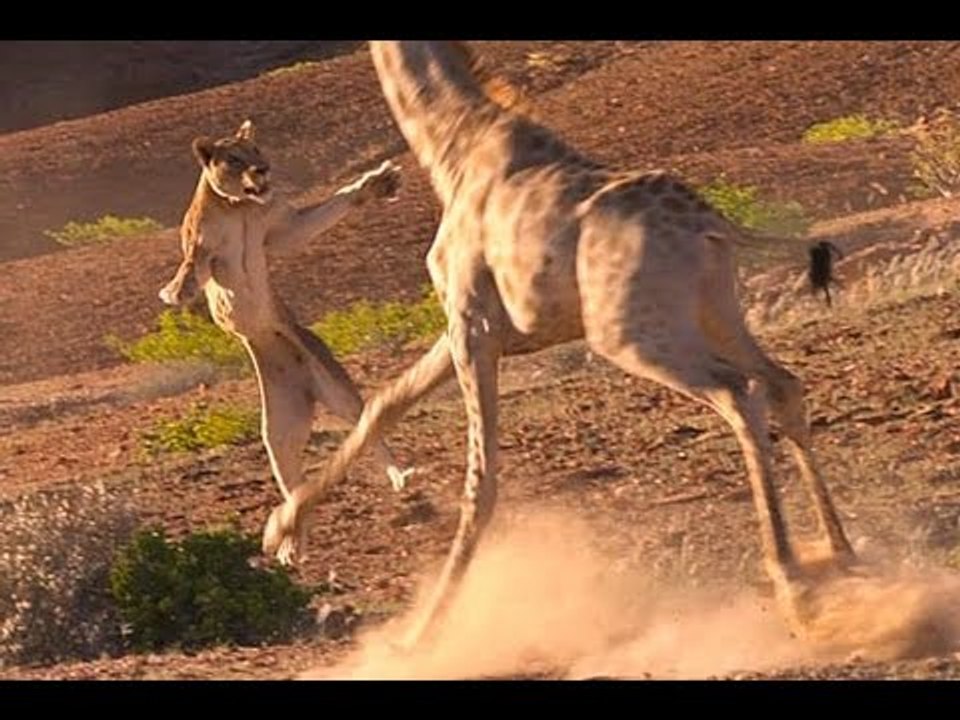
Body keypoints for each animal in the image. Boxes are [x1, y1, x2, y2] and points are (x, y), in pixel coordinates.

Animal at [262, 42, 858, 646]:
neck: (451, 150)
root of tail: (711, 223)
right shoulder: (472, 326)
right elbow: (383, 406)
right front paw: (279, 530)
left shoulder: (471, 321)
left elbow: (480, 478)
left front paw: (420, 634)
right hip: (715, 310)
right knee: (782, 384)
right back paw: (842, 557)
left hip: (632, 332)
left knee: (739, 395)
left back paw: (794, 588)